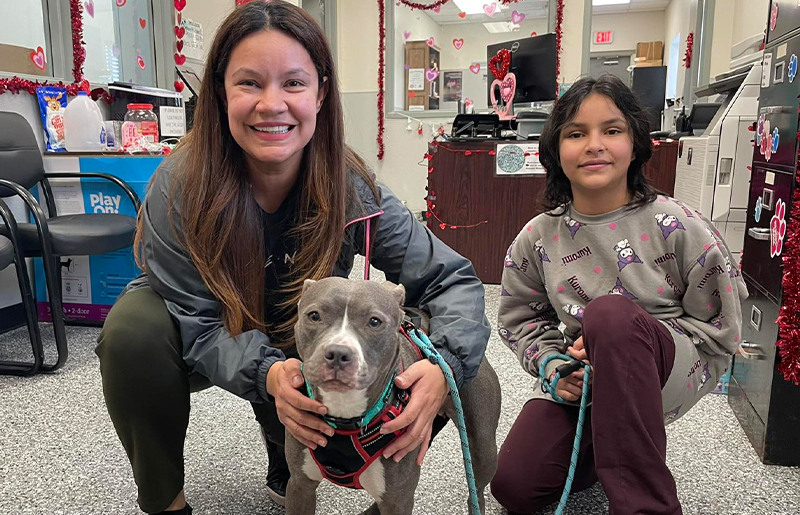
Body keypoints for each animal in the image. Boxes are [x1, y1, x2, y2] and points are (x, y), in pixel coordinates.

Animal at [286, 278, 500, 515]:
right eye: (314, 315)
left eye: (374, 321)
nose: (338, 353)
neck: (345, 416)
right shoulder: (299, 485)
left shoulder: (399, 500)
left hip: (482, 446)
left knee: (477, 489)